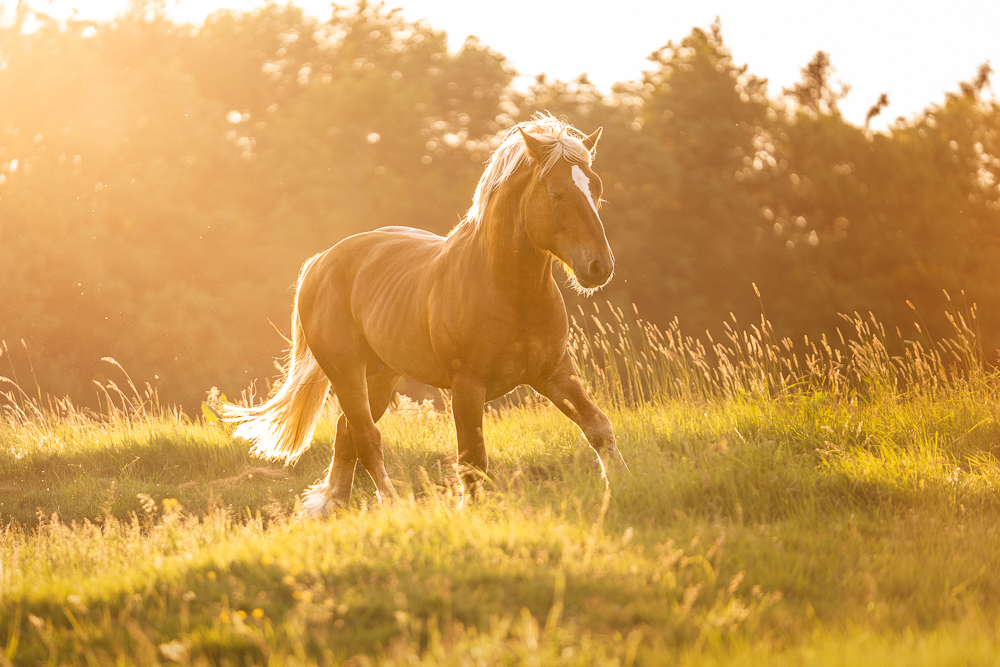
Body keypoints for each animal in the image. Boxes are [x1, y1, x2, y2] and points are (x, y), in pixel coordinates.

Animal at [220, 113, 626, 514]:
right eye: (556, 193)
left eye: (596, 188)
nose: (600, 267)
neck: (511, 292)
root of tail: (321, 261)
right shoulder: (467, 385)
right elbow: (472, 459)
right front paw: (469, 511)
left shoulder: (554, 372)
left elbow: (598, 427)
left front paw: (623, 485)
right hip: (345, 372)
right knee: (366, 437)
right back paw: (391, 503)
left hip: (380, 377)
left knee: (346, 433)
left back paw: (334, 503)